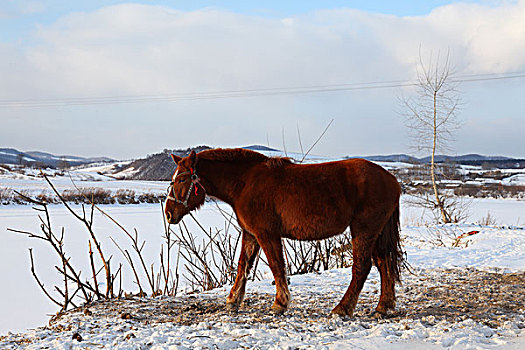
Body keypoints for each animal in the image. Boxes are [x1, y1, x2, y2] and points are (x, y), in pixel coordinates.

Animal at [166, 148, 404, 318]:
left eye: (181, 180)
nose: (168, 213)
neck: (246, 182)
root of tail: (392, 180)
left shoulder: (267, 234)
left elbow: (276, 266)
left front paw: (280, 303)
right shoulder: (251, 234)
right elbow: (243, 266)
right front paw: (233, 301)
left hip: (364, 230)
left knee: (362, 267)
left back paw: (342, 309)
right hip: (377, 233)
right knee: (384, 264)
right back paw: (383, 307)